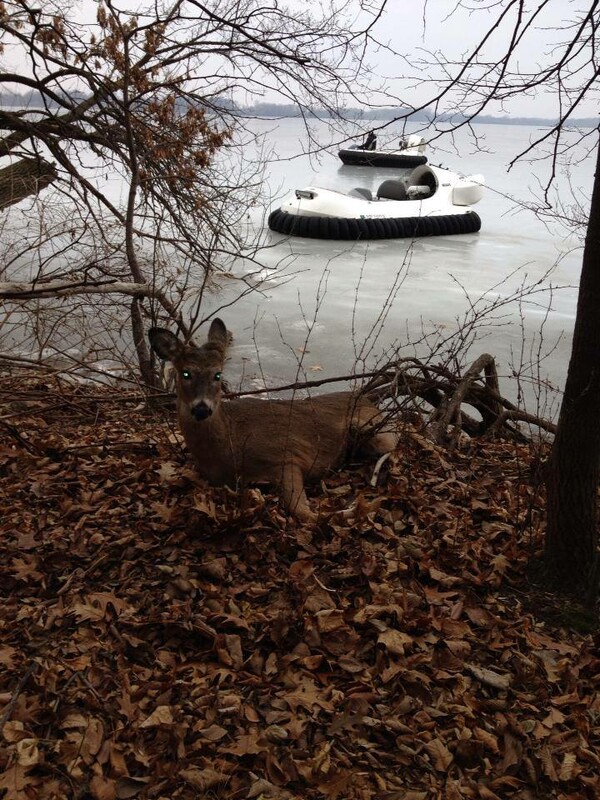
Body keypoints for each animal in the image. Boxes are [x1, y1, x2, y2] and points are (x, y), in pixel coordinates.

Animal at [148, 318, 396, 524]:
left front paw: (354, 508)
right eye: (185, 373)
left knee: (393, 446)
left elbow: (304, 512)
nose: (201, 409)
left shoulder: (287, 453)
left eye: (217, 375)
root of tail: (365, 398)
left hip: (368, 427)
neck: (230, 447)